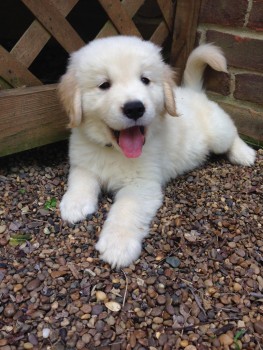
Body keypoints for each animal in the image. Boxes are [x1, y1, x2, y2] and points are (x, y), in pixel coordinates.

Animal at [58, 35, 256, 268]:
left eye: (145, 80)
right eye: (104, 85)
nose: (135, 108)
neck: (114, 151)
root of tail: (193, 92)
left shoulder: (142, 185)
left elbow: (126, 210)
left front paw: (118, 245)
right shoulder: (83, 162)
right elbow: (80, 180)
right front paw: (74, 204)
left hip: (218, 134)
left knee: (232, 133)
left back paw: (244, 154)